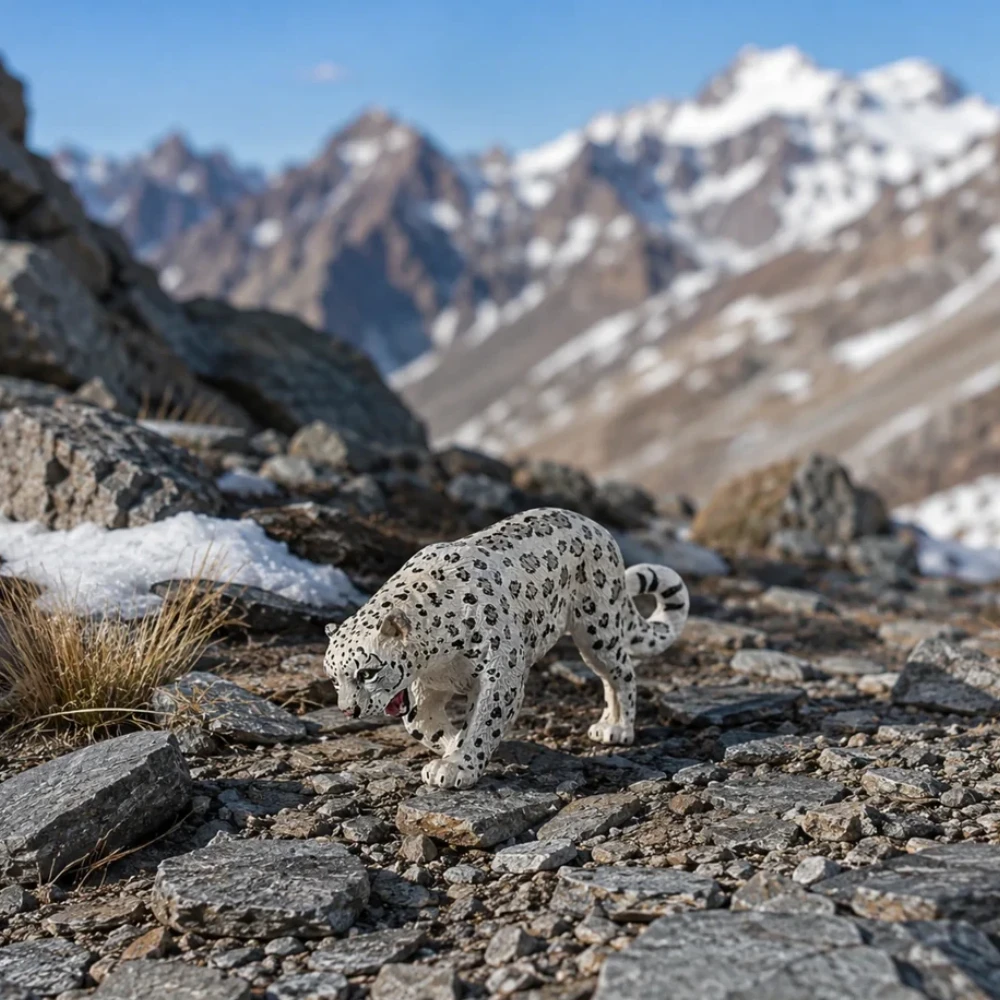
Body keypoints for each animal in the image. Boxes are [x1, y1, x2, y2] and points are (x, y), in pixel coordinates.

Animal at [323, 507, 689, 789]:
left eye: (367, 672)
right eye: (334, 680)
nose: (348, 710)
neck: (437, 659)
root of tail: (597, 526)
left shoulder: (500, 671)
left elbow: (484, 720)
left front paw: (457, 765)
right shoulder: (428, 686)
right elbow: (421, 725)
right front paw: (452, 749)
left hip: (598, 627)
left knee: (621, 672)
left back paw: (617, 728)